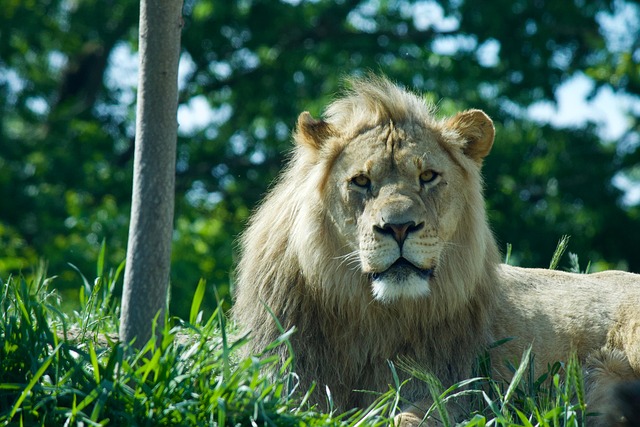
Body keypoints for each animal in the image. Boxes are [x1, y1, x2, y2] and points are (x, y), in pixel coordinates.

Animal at [233, 76, 640, 426]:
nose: (398, 227)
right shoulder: (283, 378)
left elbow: (413, 416)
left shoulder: (461, 389)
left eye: (427, 176)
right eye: (361, 181)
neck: (373, 318)